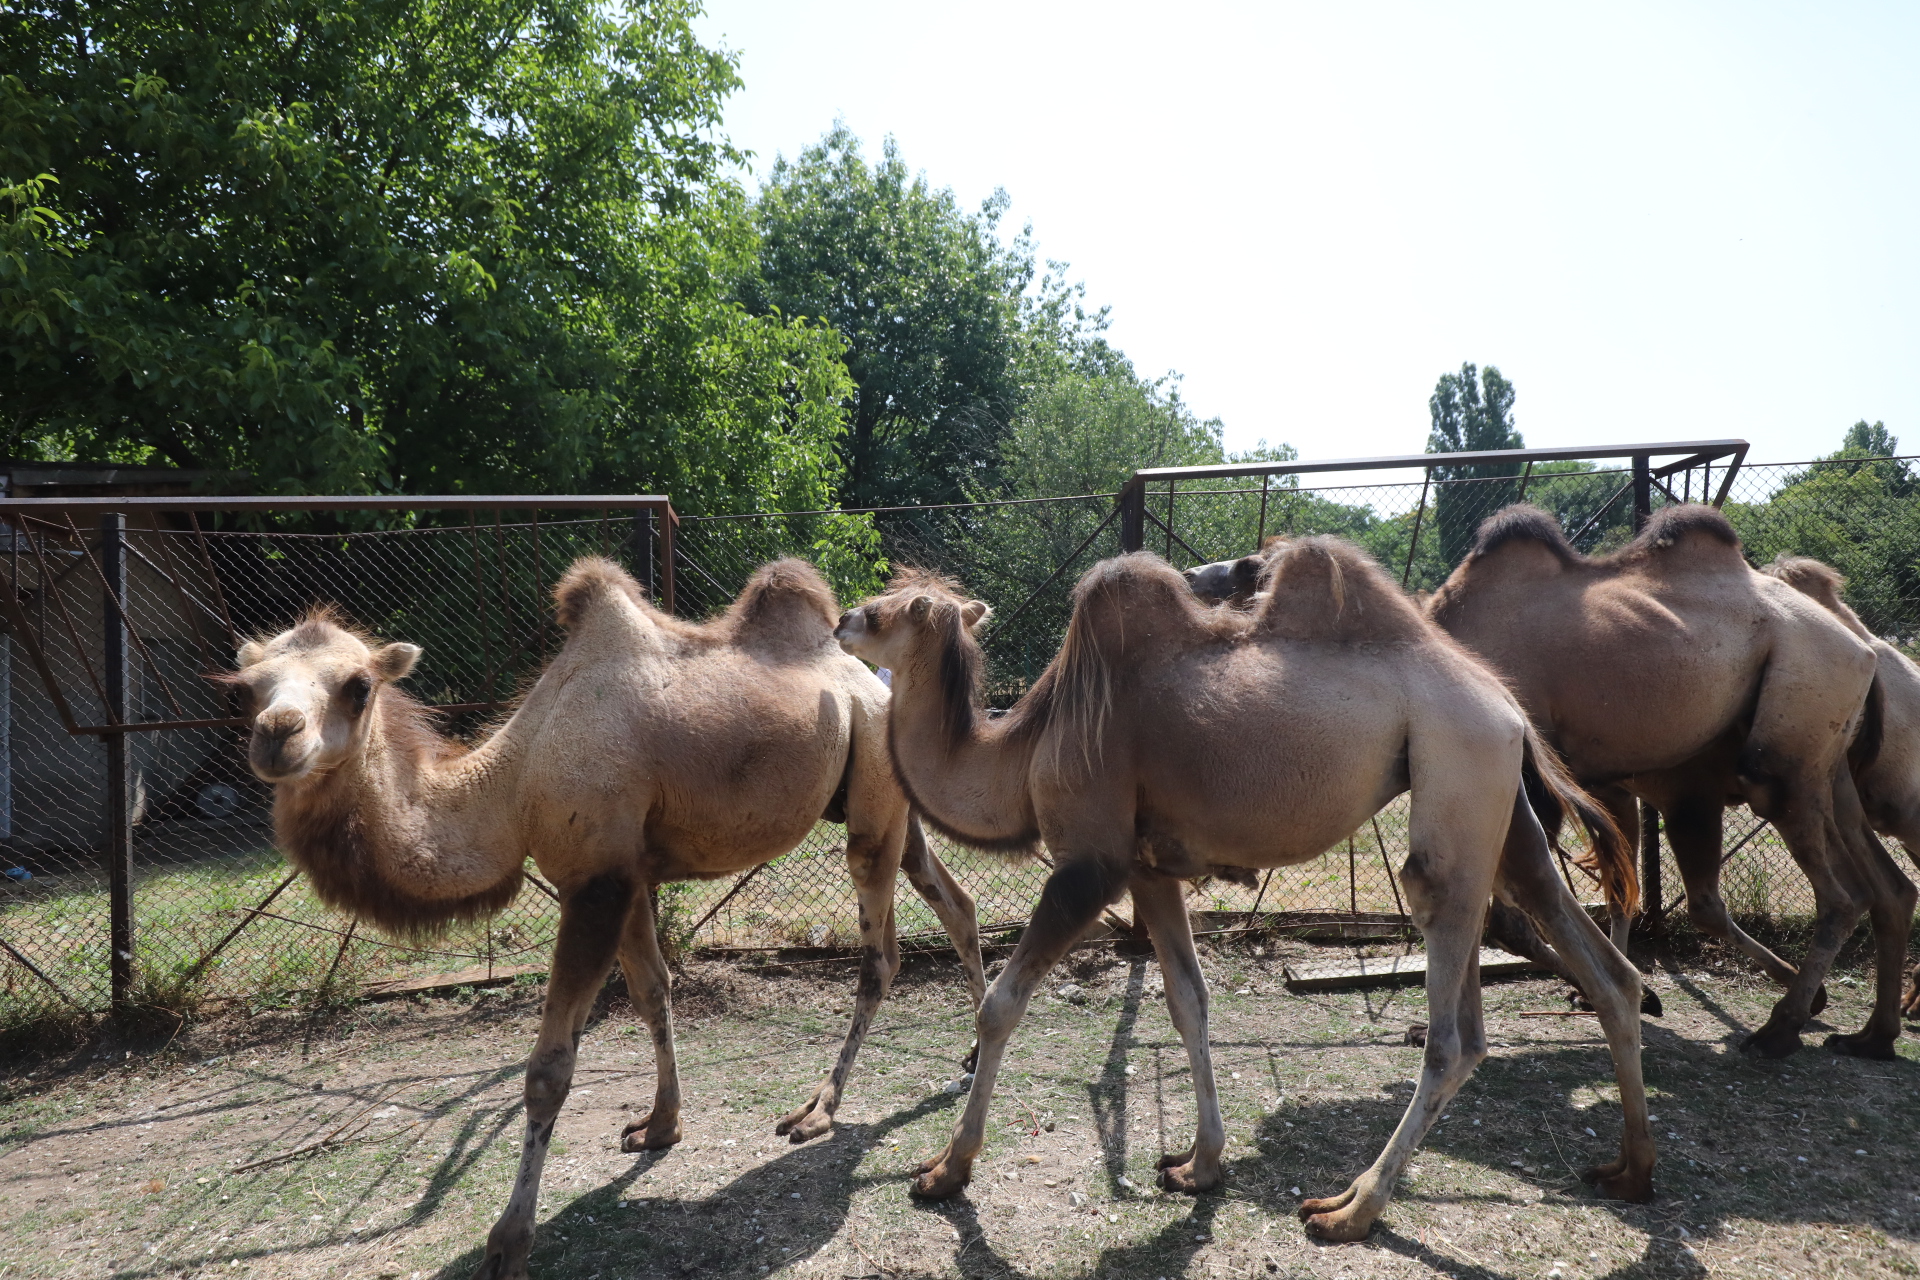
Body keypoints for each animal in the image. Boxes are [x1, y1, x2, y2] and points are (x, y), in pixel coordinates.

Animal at [232, 556, 990, 1280]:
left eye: (358, 685)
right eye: (245, 689)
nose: (277, 736)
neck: (516, 781)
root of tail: (878, 686)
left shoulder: (594, 883)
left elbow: (548, 1070)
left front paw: (509, 1243)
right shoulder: (622, 873)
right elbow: (653, 989)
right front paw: (659, 1126)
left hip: (870, 808)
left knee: (880, 957)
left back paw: (818, 1111)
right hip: (891, 805)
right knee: (957, 907)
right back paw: (972, 1050)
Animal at [840, 545, 1651, 1243]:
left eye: (891, 609)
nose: (845, 617)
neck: (1030, 744)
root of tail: (1509, 709)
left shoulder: (1089, 864)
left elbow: (1001, 1006)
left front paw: (945, 1170)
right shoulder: (1149, 870)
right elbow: (1188, 1002)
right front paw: (1197, 1165)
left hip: (1456, 781)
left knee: (1451, 1031)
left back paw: (1349, 1210)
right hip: (1502, 814)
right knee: (1602, 972)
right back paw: (1630, 1168)